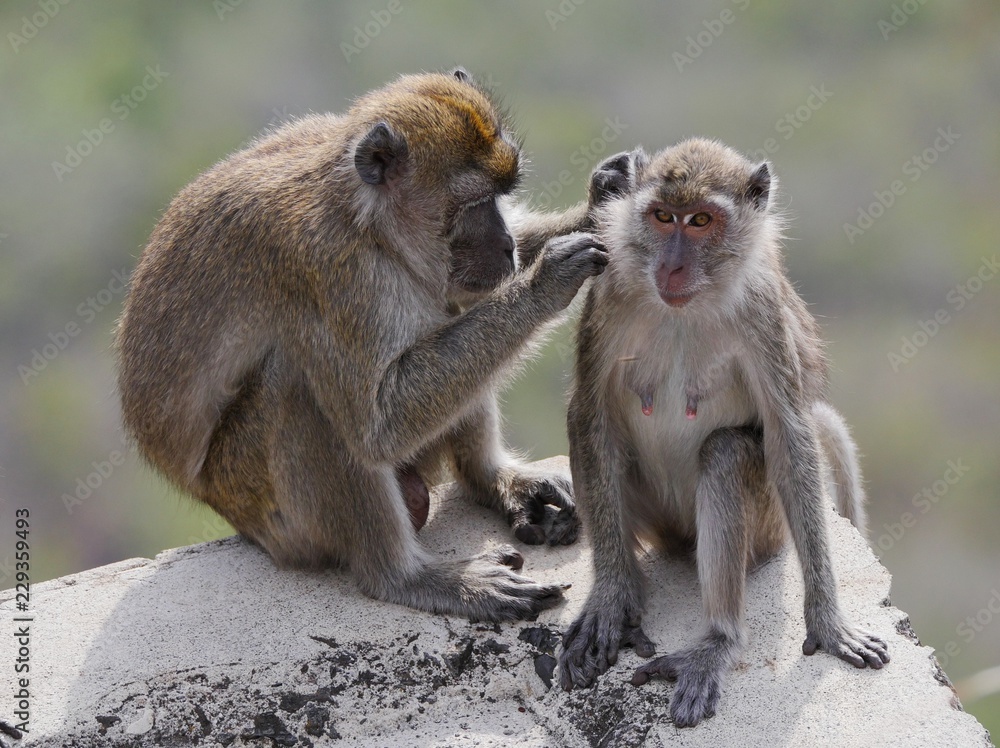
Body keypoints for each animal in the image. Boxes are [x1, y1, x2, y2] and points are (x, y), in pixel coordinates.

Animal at [115, 69, 611, 622]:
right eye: (474, 203)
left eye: (502, 196)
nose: (504, 245)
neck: (368, 222)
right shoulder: (331, 273)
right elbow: (377, 423)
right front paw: (546, 280)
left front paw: (601, 203)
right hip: (271, 511)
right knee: (302, 389)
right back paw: (407, 576)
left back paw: (490, 478)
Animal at [557, 140, 888, 726]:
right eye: (662, 217)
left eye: (701, 221)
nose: (671, 266)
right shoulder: (608, 289)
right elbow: (588, 414)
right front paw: (609, 598)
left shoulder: (762, 309)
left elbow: (787, 433)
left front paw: (828, 622)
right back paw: (629, 593)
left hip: (768, 529)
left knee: (728, 451)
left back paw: (717, 641)